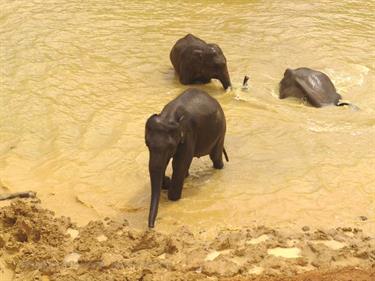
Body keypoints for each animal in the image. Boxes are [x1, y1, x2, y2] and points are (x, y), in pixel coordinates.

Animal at [145, 87, 229, 228]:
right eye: (147, 144)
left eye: (170, 147)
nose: (151, 226)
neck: (169, 116)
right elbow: (167, 164)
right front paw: (167, 181)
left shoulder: (188, 134)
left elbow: (179, 164)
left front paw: (171, 190)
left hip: (221, 129)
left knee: (215, 157)